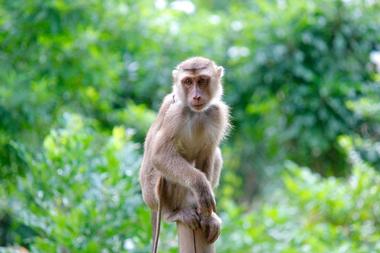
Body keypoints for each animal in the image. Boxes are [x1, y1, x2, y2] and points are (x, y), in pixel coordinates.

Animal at [139, 55, 229, 251]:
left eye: (202, 80)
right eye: (188, 82)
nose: (196, 96)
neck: (196, 113)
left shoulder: (217, 112)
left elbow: (208, 153)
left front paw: (208, 217)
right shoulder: (176, 113)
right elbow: (159, 156)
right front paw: (201, 186)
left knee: (217, 155)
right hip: (157, 198)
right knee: (165, 176)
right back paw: (172, 214)